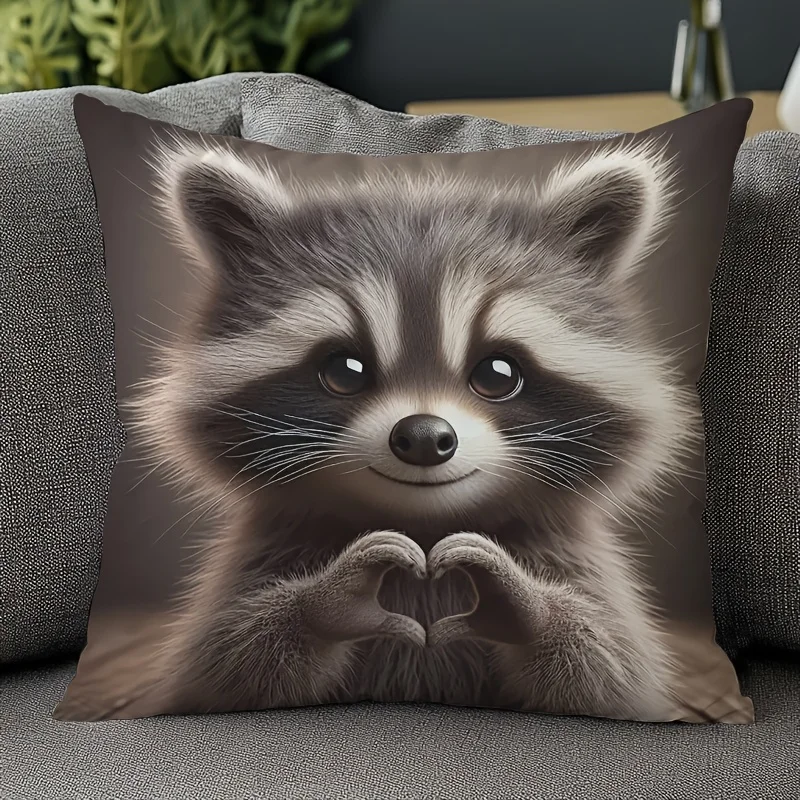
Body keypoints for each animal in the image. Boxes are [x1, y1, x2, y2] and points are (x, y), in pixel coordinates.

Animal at [80, 137, 698, 722]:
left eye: (497, 373)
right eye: (344, 370)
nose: (424, 436)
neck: (424, 525)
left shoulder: (573, 558)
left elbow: (610, 667)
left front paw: (527, 605)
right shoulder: (264, 554)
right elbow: (228, 661)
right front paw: (325, 600)